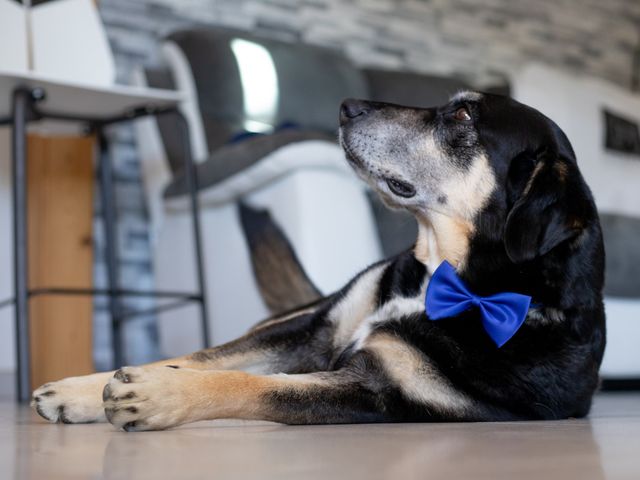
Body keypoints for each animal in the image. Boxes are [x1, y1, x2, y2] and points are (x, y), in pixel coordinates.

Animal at [30, 92, 604, 430]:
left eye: (463, 116)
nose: (348, 106)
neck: (442, 277)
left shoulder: (379, 394)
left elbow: (253, 386)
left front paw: (159, 394)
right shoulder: (313, 332)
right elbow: (202, 357)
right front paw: (82, 389)